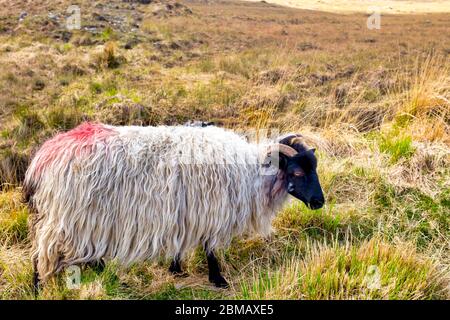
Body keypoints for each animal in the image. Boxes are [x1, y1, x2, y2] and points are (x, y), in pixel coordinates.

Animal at [24, 122, 324, 290]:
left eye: (315, 168)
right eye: (297, 172)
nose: (320, 202)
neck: (249, 174)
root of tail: (42, 157)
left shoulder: (185, 211)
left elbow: (181, 244)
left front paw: (176, 268)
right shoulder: (209, 210)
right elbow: (210, 248)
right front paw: (218, 280)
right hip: (66, 216)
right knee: (41, 254)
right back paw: (39, 288)